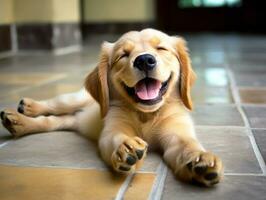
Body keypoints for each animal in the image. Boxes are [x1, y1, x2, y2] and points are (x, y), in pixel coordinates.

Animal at [1, 28, 223, 186]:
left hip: (75, 120)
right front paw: (126, 147)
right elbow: (116, 138)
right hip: (73, 99)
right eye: (123, 55)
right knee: (53, 107)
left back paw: (18, 123)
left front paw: (200, 160)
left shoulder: (177, 134)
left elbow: (188, 145)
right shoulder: (111, 129)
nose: (144, 60)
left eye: (161, 49)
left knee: (53, 122)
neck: (146, 114)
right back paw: (26, 108)